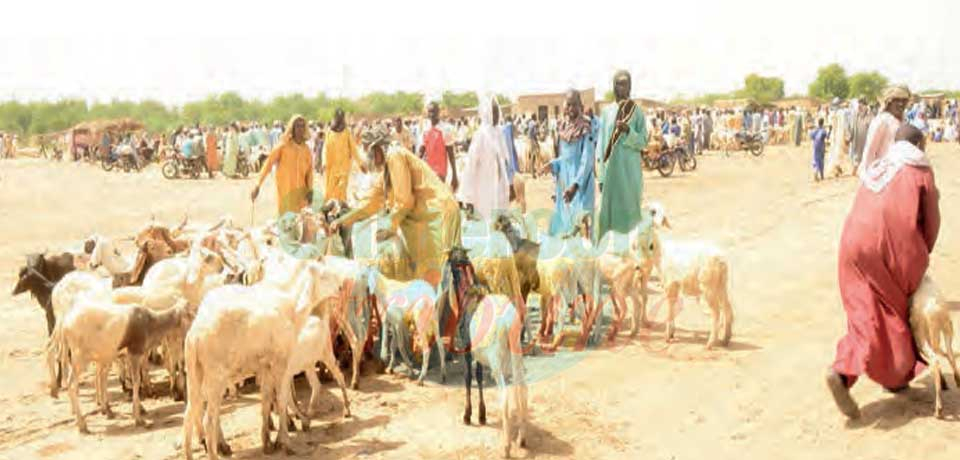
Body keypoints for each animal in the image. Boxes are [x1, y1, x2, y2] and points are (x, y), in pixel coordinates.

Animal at [182, 260, 344, 458]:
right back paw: (216, 451)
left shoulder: (266, 367)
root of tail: (195, 334)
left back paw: (194, 452)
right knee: (209, 419)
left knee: (189, 415)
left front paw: (268, 443)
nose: (341, 287)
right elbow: (282, 400)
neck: (292, 308)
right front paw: (285, 442)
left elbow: (266, 402)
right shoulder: (281, 364)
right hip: (215, 377)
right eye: (323, 275)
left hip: (195, 373)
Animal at [908, 274, 960, 420]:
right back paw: (957, 381)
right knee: (949, 354)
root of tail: (933, 307)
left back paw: (938, 410)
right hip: (947, 327)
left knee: (935, 360)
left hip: (921, 337)